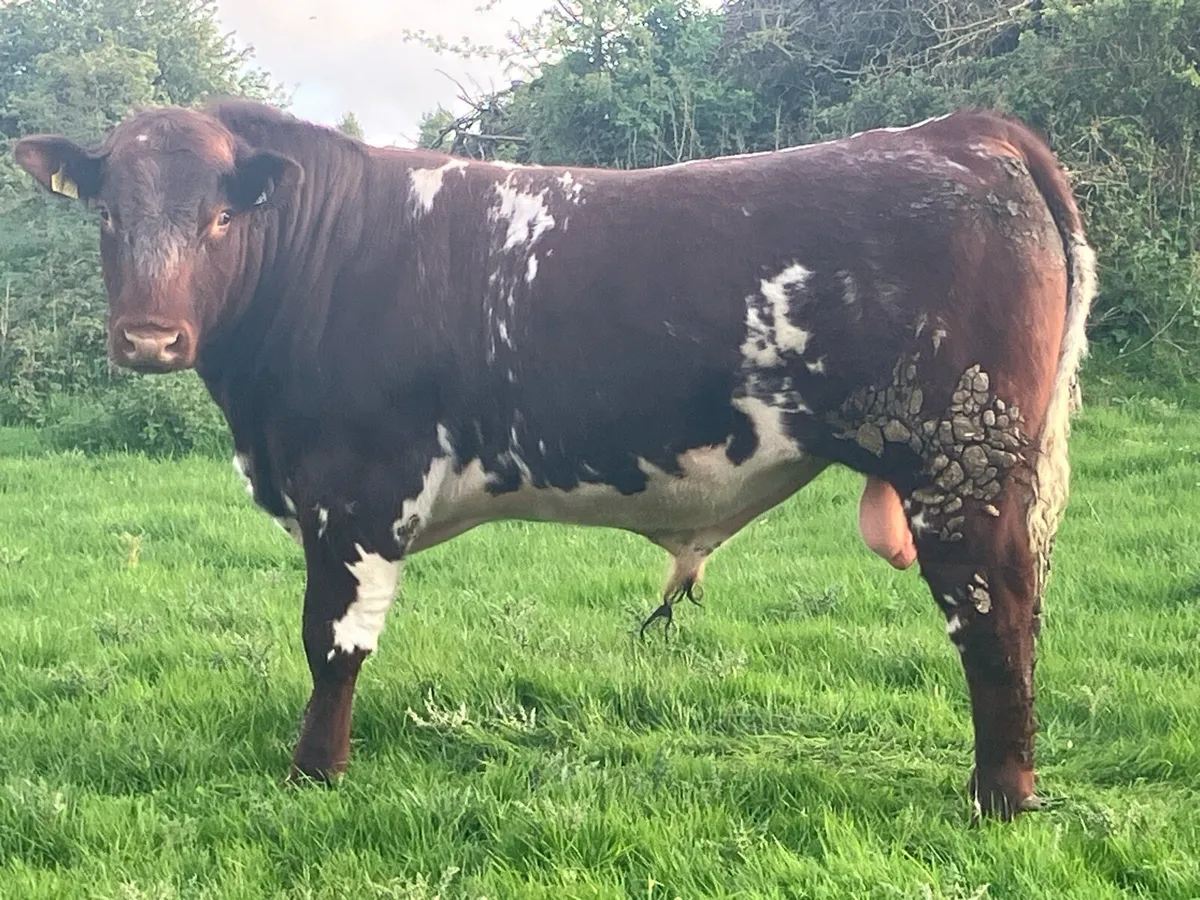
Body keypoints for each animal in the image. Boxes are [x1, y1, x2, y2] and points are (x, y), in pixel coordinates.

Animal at [14, 99, 1096, 819]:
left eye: (221, 216)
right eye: (108, 213)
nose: (150, 339)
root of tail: (958, 133)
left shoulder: (355, 492)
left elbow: (333, 643)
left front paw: (313, 774)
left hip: (963, 459)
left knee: (996, 620)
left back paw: (1001, 798)